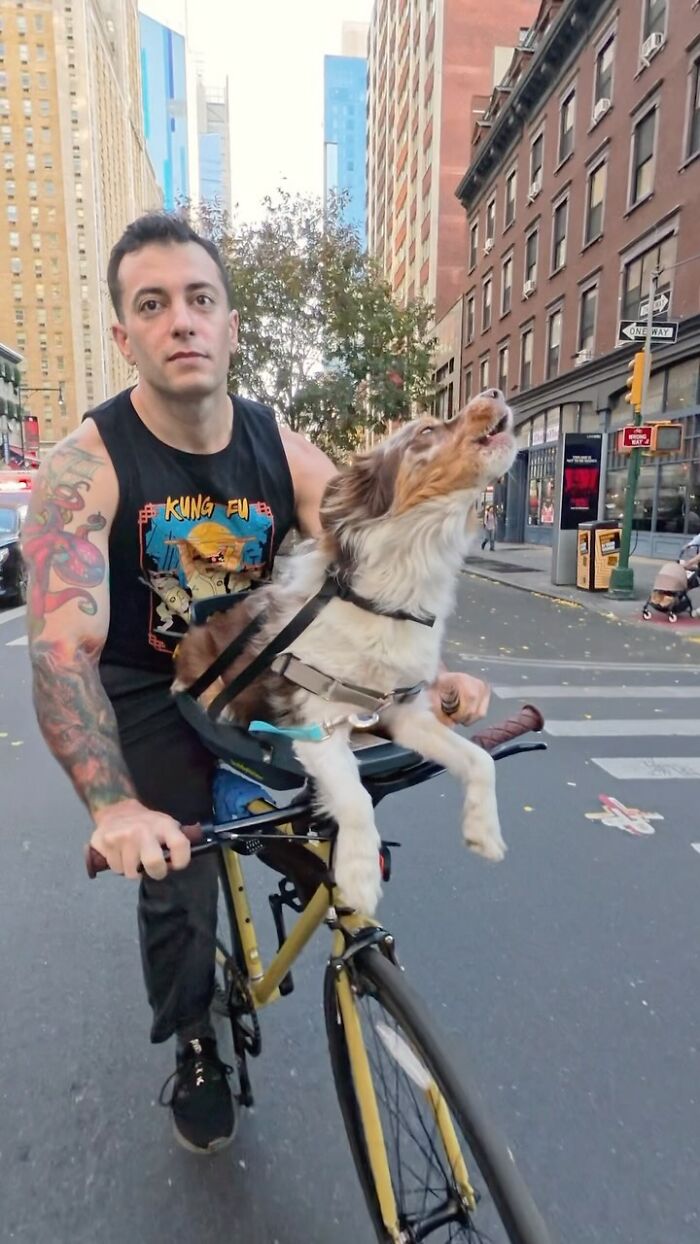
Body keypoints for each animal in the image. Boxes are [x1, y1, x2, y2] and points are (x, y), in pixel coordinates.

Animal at [172, 388, 517, 915]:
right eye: (426, 430)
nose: (495, 393)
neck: (392, 591)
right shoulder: (314, 722)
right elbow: (354, 795)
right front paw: (357, 874)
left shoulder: (402, 712)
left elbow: (477, 759)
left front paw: (484, 832)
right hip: (198, 656)